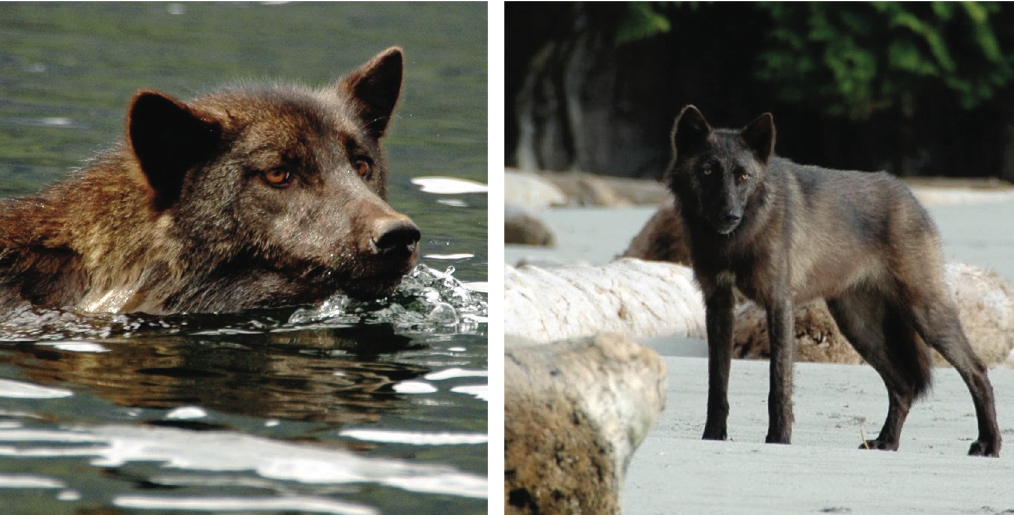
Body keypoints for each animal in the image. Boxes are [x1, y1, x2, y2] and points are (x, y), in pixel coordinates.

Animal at [665, 103, 997, 454]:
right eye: (707, 171)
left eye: (743, 176)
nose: (729, 216)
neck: (737, 240)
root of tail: (909, 196)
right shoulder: (719, 305)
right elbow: (718, 382)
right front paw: (713, 435)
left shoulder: (778, 304)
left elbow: (778, 382)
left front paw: (779, 438)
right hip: (859, 328)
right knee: (903, 386)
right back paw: (886, 442)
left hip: (925, 315)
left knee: (976, 370)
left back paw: (989, 444)